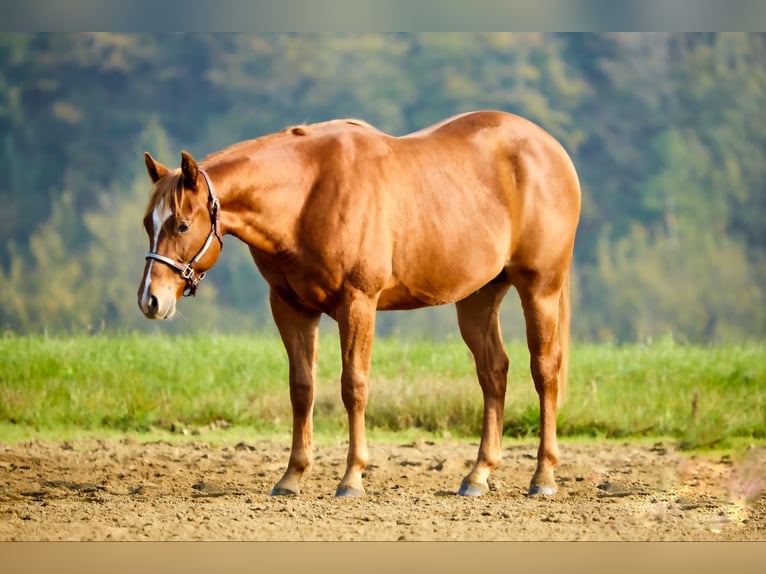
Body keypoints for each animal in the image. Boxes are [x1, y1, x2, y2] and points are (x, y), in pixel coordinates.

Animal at [137, 110, 581, 497]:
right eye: (147, 223)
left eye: (182, 225)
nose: (150, 300)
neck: (307, 195)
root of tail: (551, 149)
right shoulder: (291, 308)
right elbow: (302, 388)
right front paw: (292, 477)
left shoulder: (357, 304)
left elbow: (353, 386)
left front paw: (351, 478)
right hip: (478, 298)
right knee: (494, 373)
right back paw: (478, 475)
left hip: (540, 289)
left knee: (545, 372)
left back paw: (543, 476)